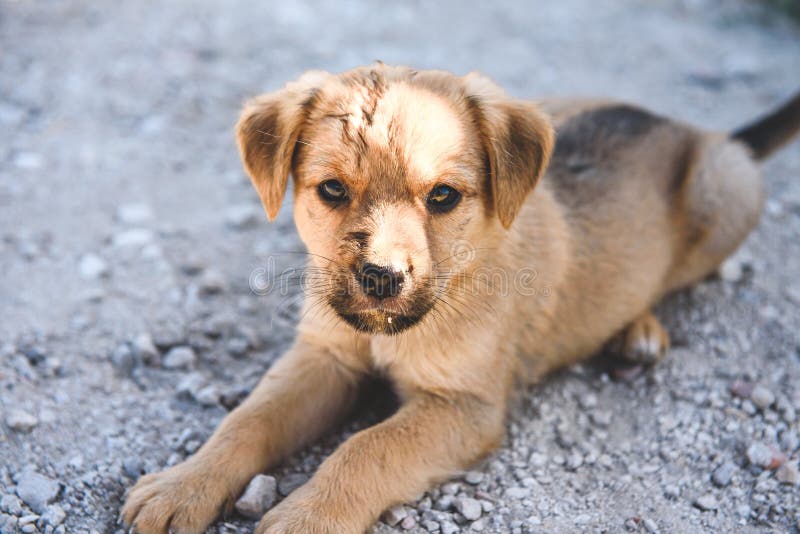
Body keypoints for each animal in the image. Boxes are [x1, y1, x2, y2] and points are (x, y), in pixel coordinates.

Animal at [120, 65, 800, 532]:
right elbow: (247, 420)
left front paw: (307, 516)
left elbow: (365, 449)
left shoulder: (464, 407)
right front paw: (183, 486)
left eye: (443, 196)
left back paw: (640, 331)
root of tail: (698, 130)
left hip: (725, 194)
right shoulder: (324, 358)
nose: (380, 278)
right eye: (332, 190)